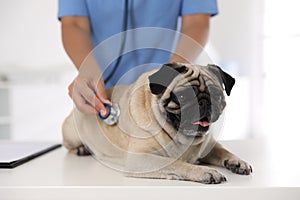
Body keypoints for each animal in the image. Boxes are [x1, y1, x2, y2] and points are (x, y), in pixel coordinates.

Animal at [62, 63, 252, 184]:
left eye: (217, 96)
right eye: (182, 96)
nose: (204, 103)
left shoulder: (209, 146)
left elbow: (223, 151)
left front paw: (237, 162)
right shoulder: (140, 159)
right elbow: (178, 163)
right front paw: (204, 171)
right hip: (72, 132)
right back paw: (81, 149)